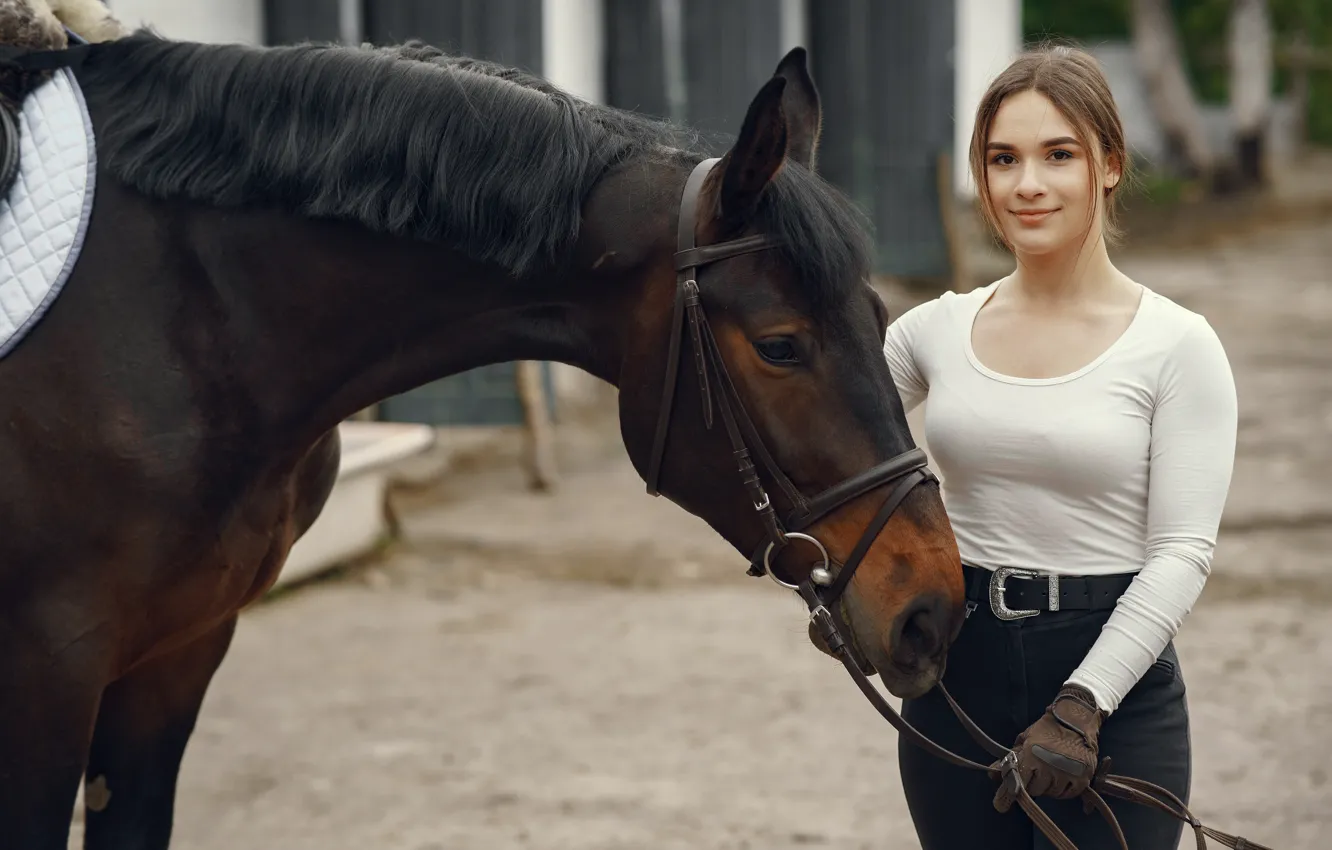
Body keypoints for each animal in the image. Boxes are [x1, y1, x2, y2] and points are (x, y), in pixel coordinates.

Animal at [0, 30, 967, 848]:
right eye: (779, 346)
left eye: (879, 316)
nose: (932, 611)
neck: (180, 315)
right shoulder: (49, 675)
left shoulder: (179, 653)